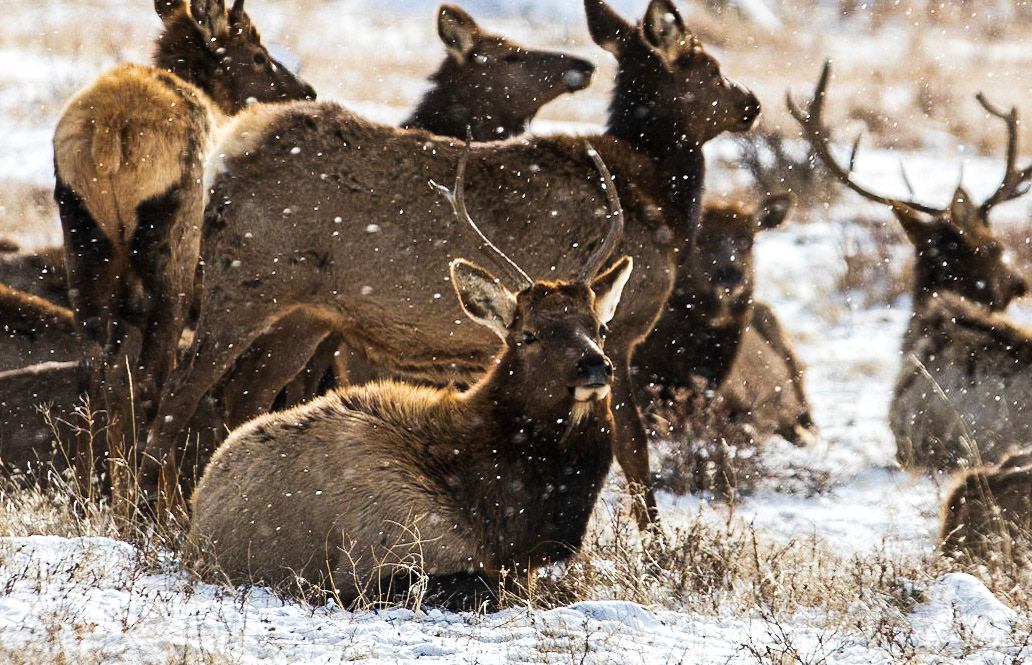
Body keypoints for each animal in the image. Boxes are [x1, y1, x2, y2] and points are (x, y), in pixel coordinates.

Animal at [52, 0, 315, 496]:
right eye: (257, 55)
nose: (306, 92)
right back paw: (160, 505)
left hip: (85, 244)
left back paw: (89, 493)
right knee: (159, 385)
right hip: (173, 253)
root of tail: (112, 134)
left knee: (90, 372)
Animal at [143, 0, 761, 528]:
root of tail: (230, 148)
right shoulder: (627, 330)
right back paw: (152, 507)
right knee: (181, 389)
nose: (751, 101)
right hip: (247, 282)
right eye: (707, 66)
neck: (659, 203)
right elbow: (634, 450)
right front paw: (655, 542)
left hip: (307, 314)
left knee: (245, 393)